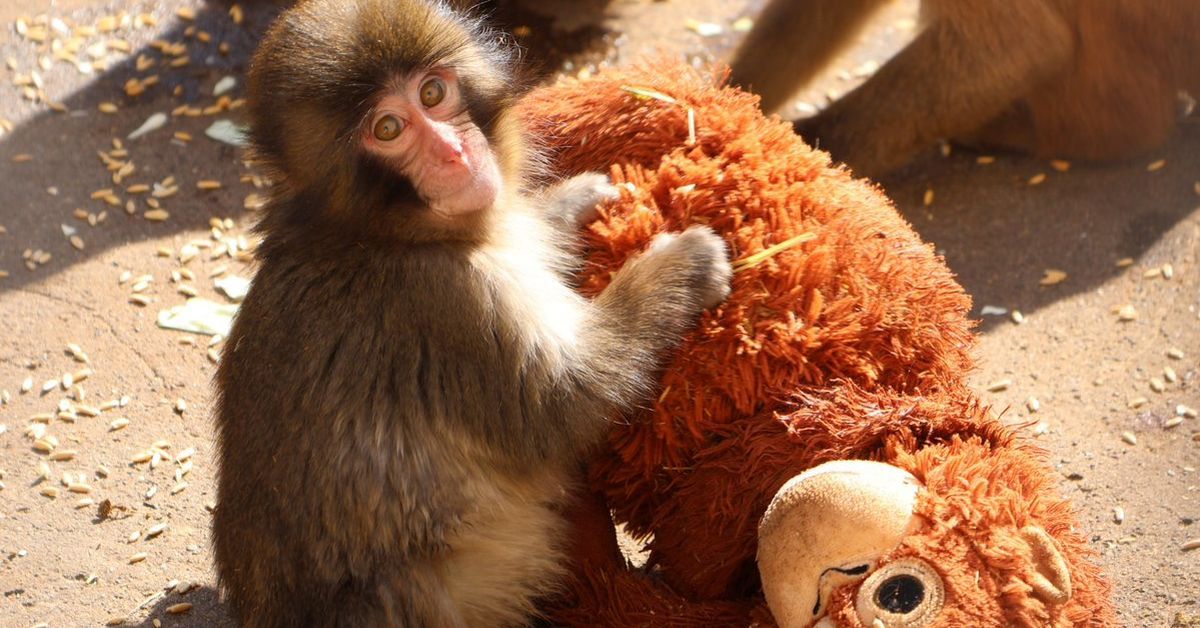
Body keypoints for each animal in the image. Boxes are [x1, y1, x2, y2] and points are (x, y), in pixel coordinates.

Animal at [210, 0, 732, 626]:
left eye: (433, 93)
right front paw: (679, 266)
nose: (454, 153)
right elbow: (563, 403)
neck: (377, 234)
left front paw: (570, 203)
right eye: (388, 129)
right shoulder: (445, 302)